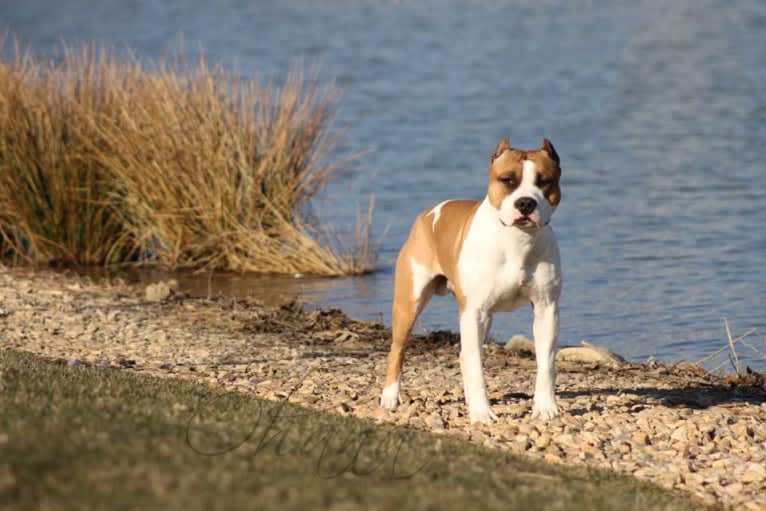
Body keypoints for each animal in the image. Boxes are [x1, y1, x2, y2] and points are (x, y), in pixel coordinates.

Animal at [380, 137, 564, 424]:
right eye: (507, 179)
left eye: (544, 180)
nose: (525, 204)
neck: (517, 240)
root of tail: (429, 213)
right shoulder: (473, 312)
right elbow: (477, 365)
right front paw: (481, 412)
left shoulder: (546, 310)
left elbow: (546, 363)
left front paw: (545, 407)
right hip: (409, 304)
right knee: (398, 350)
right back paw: (390, 397)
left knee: (463, 355)